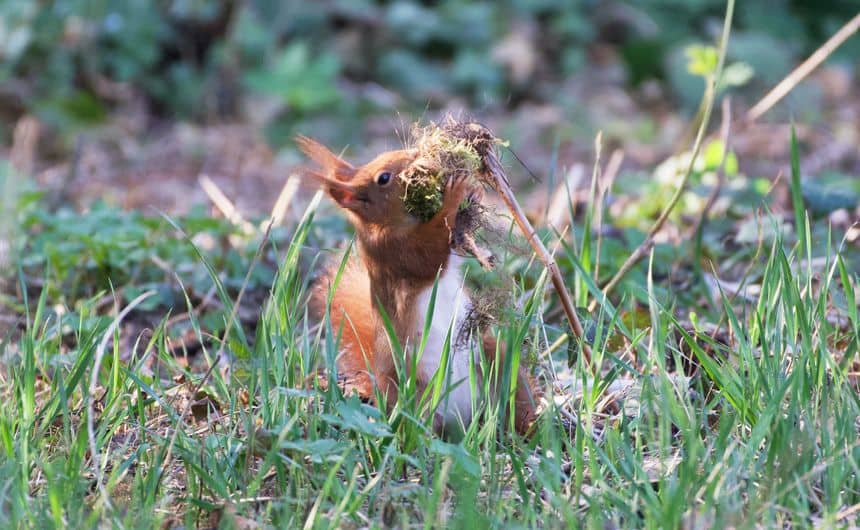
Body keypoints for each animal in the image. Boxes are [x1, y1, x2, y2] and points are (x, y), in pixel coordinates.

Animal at [296, 136, 536, 434]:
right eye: (383, 178)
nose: (414, 154)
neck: (386, 223)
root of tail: (465, 417)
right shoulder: (395, 252)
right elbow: (428, 254)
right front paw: (454, 193)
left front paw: (473, 194)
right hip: (415, 389)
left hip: (495, 357)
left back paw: (529, 424)